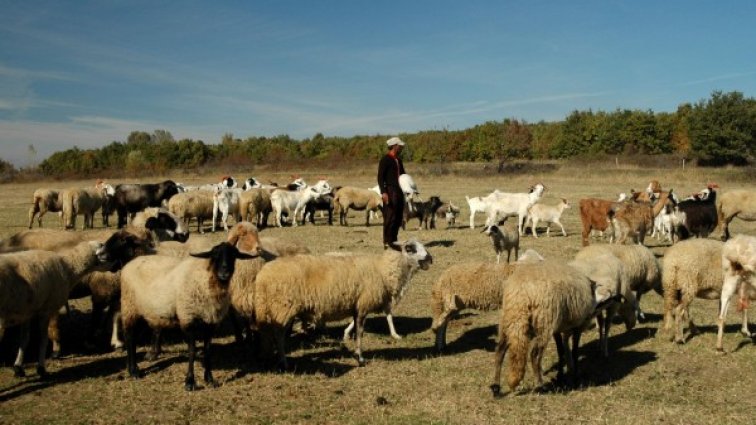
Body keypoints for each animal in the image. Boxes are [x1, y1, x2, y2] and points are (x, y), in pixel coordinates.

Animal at [120, 242, 256, 390]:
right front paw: (189, 382)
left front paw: (209, 379)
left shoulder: (211, 323)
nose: (224, 272)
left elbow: (208, 350)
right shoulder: (188, 319)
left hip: (142, 310)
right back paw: (134, 370)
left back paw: (131, 368)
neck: (207, 280)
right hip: (129, 307)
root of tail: (131, 263)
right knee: (129, 337)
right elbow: (192, 351)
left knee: (132, 338)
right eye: (215, 255)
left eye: (233, 255)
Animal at [252, 238, 432, 368]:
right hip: (284, 306)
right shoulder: (364, 303)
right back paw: (283, 361)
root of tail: (262, 277)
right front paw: (360, 358)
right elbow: (360, 332)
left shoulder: (358, 304)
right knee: (279, 335)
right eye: (410, 248)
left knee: (268, 333)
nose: (430, 259)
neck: (382, 269)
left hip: (273, 307)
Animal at [488, 260, 600, 396]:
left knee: (500, 351)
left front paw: (560, 376)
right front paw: (575, 376)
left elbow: (560, 350)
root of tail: (521, 294)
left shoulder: (557, 328)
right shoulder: (577, 327)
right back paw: (540, 385)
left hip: (508, 320)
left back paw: (496, 387)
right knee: (534, 355)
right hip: (543, 322)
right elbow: (574, 351)